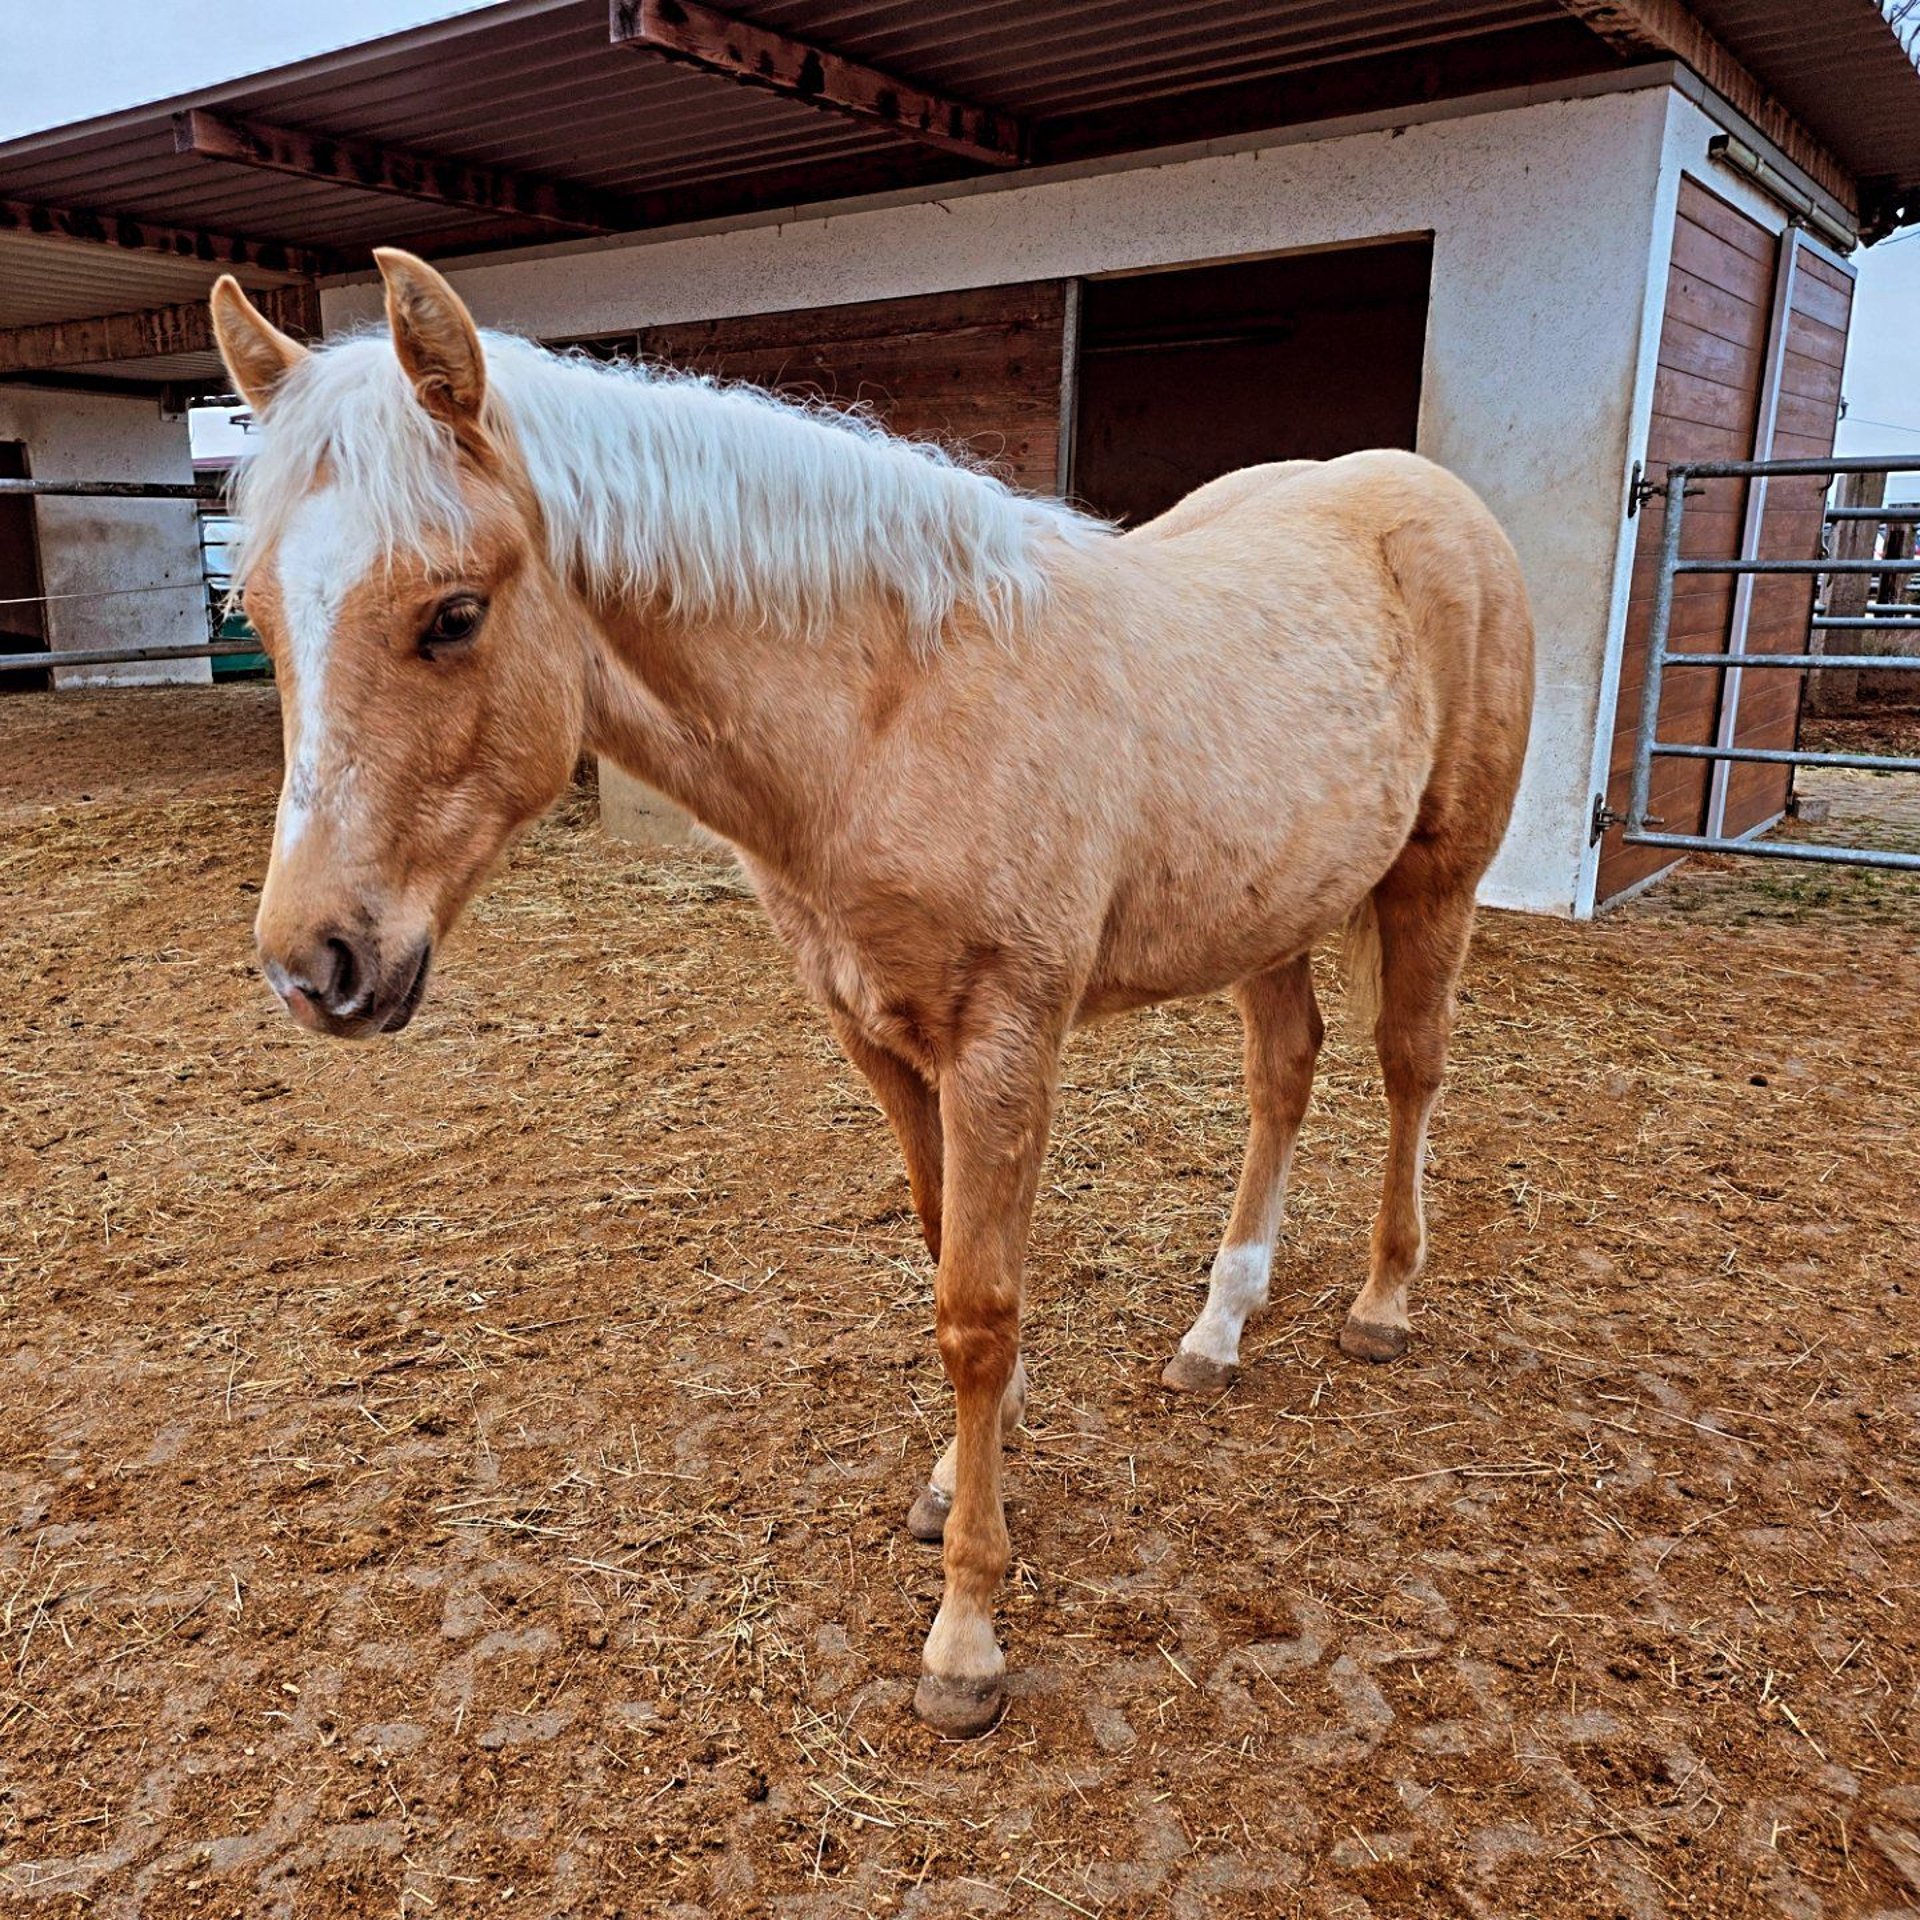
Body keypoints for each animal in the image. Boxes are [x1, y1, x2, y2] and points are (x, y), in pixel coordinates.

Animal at [209, 251, 1534, 1738]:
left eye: (453, 614)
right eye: (260, 614)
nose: (313, 963)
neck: (897, 711)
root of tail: (1423, 495)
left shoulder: (1005, 1042)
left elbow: (979, 1312)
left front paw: (966, 1636)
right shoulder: (879, 1039)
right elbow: (948, 1257)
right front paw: (959, 1487)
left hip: (1436, 880)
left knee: (1410, 1066)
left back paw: (1382, 1305)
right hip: (1274, 908)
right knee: (1286, 1074)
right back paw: (1219, 1327)